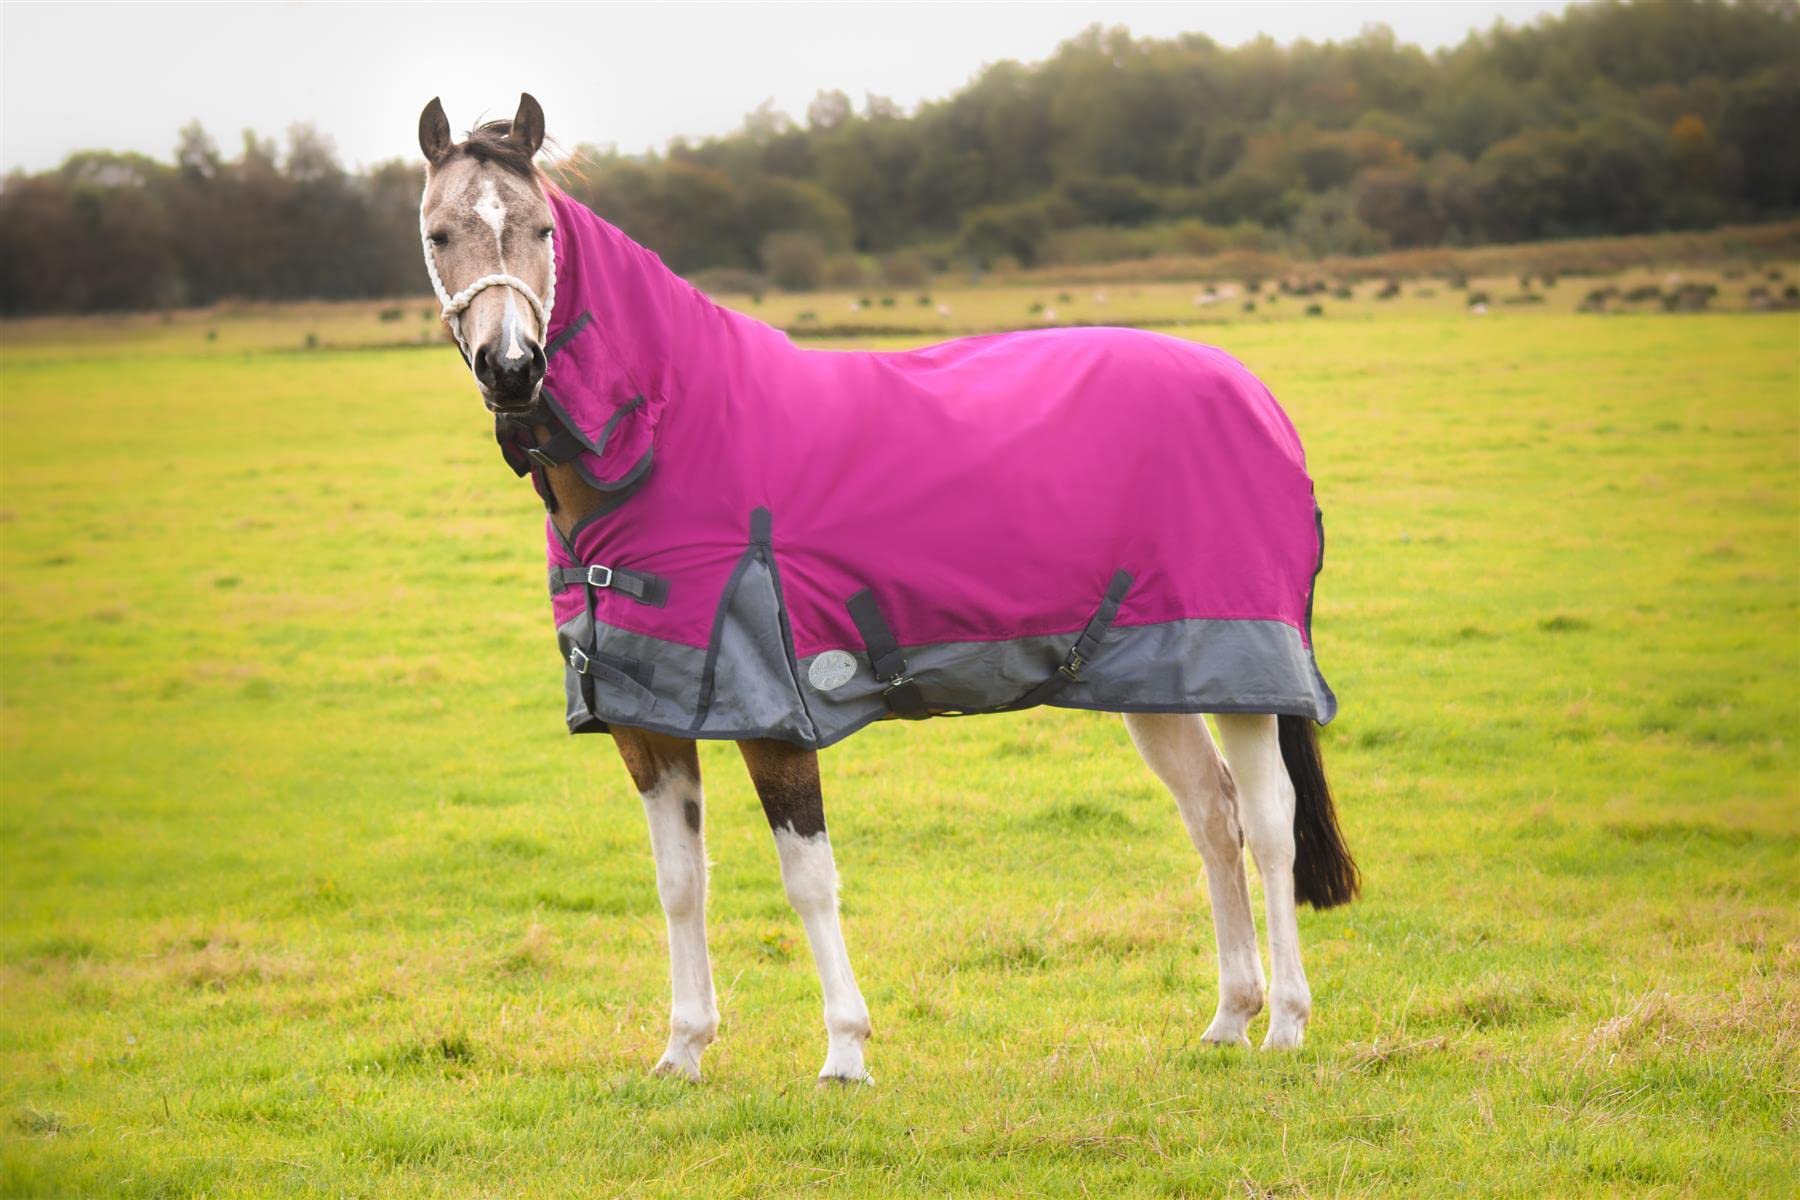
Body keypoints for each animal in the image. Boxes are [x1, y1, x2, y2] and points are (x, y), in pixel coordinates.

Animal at [416, 94, 1357, 1083]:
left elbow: (806, 880)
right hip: (1159, 677)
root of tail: (1256, 394)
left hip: (1247, 666)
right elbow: (679, 883)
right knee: (1214, 818)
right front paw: (683, 1049)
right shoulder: (647, 721)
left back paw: (1287, 1022)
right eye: (440, 234)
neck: (671, 440)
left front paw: (844, 1051)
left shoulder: (775, 714)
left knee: (1271, 821)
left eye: (542, 230)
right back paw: (1229, 1017)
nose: (513, 367)